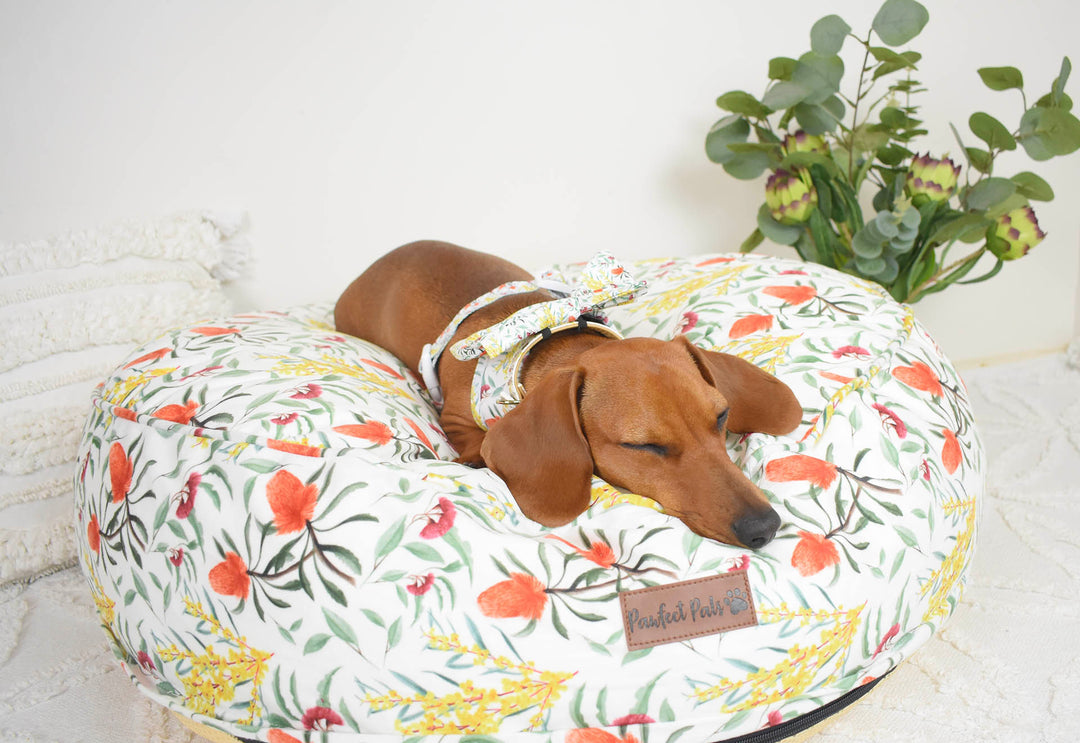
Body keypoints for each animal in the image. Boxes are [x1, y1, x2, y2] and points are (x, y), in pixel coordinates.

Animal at [334, 240, 803, 548]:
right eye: (643, 446)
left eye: (721, 417)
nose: (764, 527)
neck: (542, 339)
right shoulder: (457, 418)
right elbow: (475, 444)